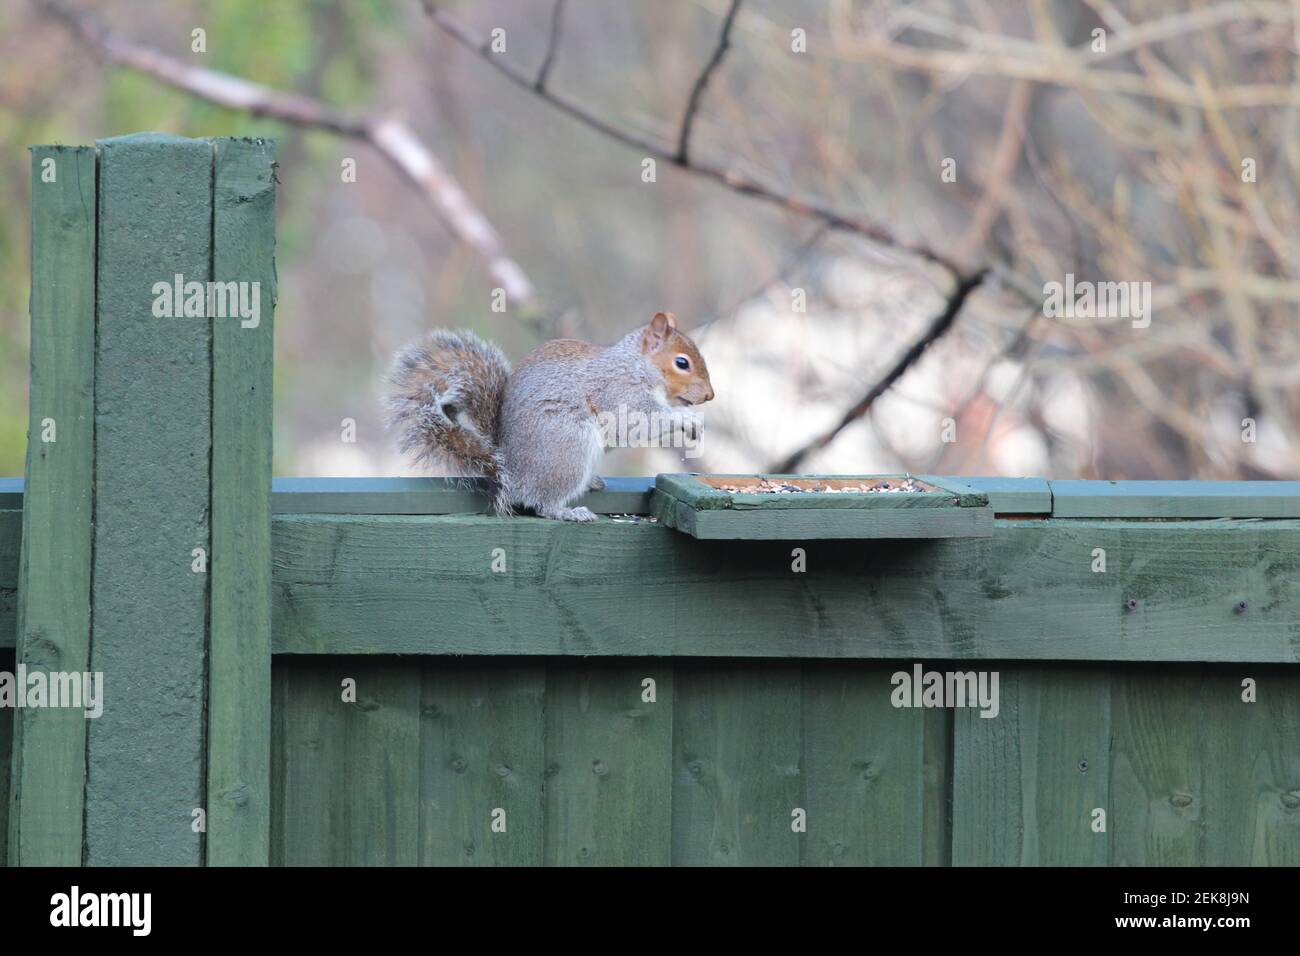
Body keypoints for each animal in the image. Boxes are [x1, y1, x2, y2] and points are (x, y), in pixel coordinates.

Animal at [384, 312, 717, 522]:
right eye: (682, 363)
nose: (710, 396)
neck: (638, 366)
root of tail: (511, 471)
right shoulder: (618, 392)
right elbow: (640, 420)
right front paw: (688, 420)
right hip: (567, 446)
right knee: (542, 503)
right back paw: (568, 511)